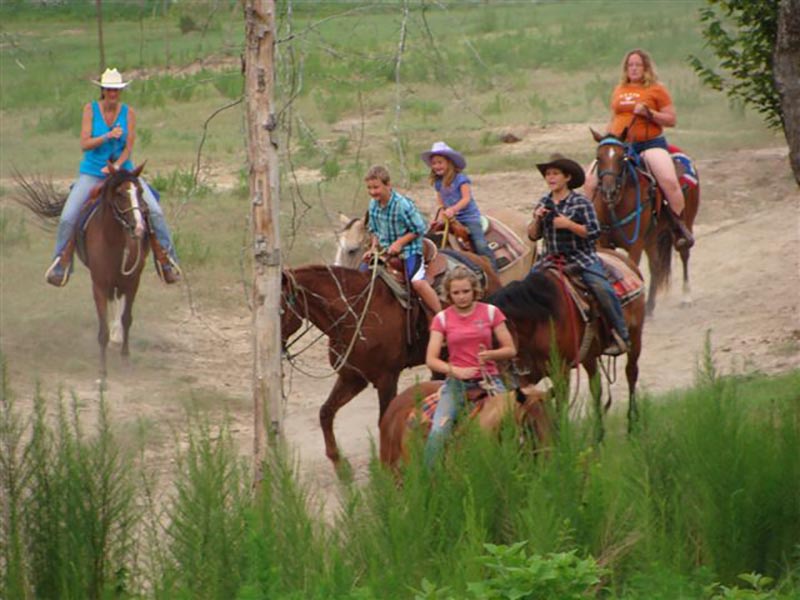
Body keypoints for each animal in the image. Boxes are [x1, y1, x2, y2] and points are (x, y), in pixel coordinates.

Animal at [14, 166, 151, 378]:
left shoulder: (133, 280)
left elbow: (127, 318)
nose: (139, 228)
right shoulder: (99, 284)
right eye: (120, 194)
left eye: (140, 192)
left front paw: (125, 359)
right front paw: (102, 372)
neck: (115, 242)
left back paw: (117, 336)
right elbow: (102, 329)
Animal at [282, 258, 500, 464]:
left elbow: (383, 420)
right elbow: (325, 413)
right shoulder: (352, 378)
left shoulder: (386, 378)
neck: (357, 314)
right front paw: (341, 466)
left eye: (281, 310)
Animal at [484, 251, 648, 438]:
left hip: (635, 338)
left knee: (631, 373)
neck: (540, 322)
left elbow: (560, 406)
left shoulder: (561, 372)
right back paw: (599, 435)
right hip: (589, 355)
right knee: (596, 387)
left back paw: (632, 426)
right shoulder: (526, 379)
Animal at [588, 131, 700, 316]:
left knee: (684, 252)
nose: (609, 191)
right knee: (655, 265)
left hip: (685, 224)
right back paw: (650, 307)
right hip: (652, 238)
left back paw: (686, 297)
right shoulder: (604, 243)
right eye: (598, 157)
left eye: (622, 158)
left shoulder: (635, 245)